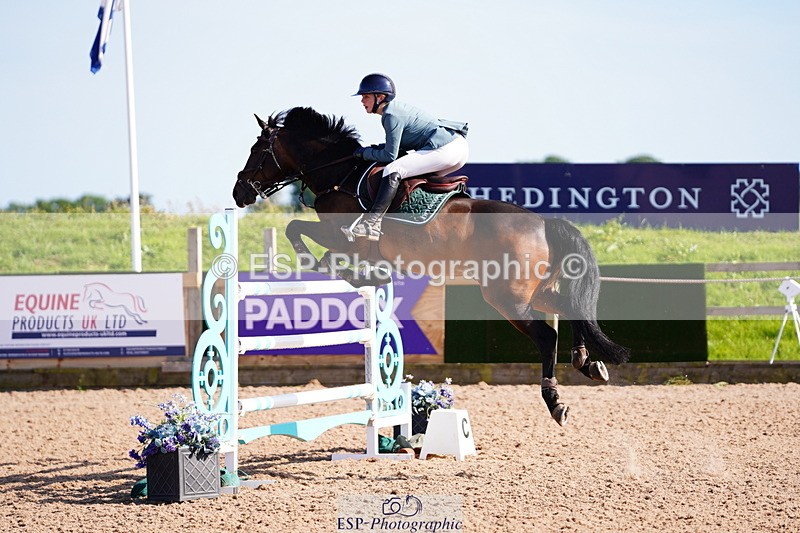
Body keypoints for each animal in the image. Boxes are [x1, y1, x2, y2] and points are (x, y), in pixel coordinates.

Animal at [232, 106, 630, 426]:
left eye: (257, 151)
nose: (239, 193)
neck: (339, 174)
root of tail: (544, 223)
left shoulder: (342, 236)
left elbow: (297, 230)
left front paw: (320, 263)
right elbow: (303, 232)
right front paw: (349, 271)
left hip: (506, 297)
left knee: (547, 336)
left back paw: (555, 401)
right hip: (530, 290)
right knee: (569, 306)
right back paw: (586, 361)